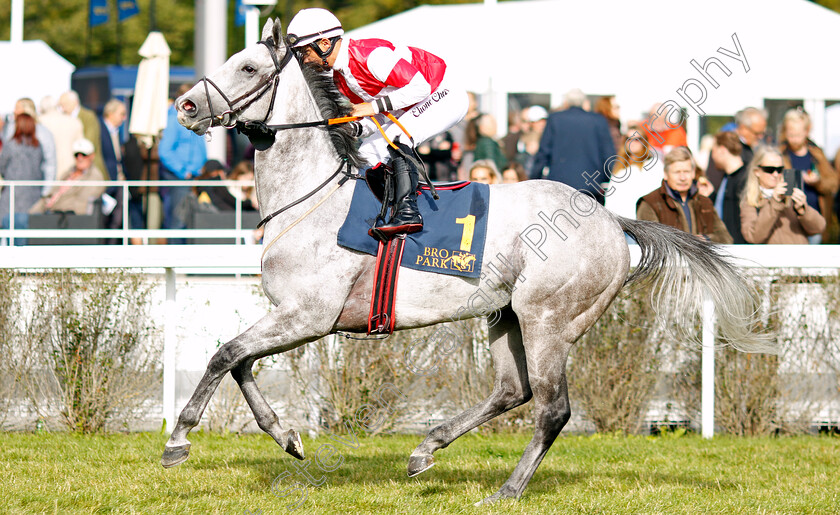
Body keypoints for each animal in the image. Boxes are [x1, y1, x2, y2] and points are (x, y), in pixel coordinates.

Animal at [161, 18, 772, 506]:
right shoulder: (293, 316)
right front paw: (286, 436)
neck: (313, 198)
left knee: (551, 408)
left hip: (548, 318)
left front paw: (178, 439)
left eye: (247, 66)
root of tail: (610, 218)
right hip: (505, 315)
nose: (185, 105)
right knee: (511, 390)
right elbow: (238, 361)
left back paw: (507, 489)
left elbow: (224, 355)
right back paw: (426, 449)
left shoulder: (309, 315)